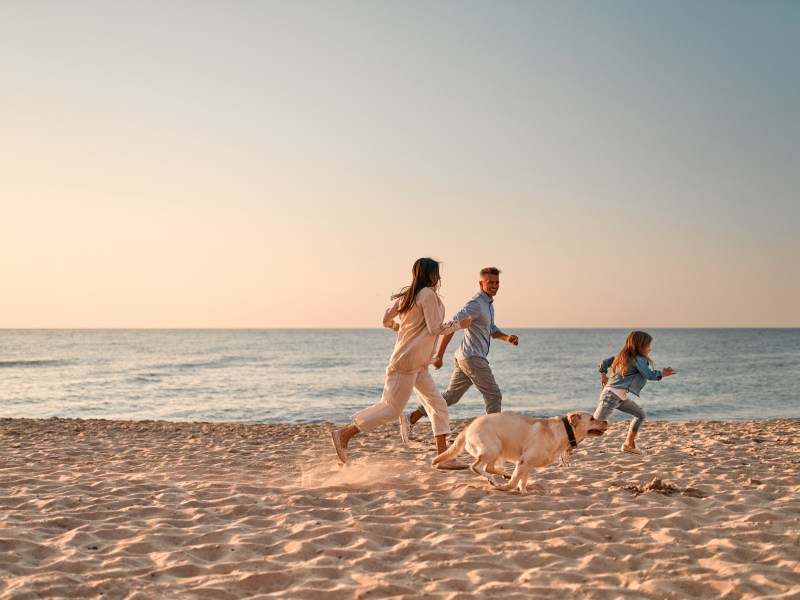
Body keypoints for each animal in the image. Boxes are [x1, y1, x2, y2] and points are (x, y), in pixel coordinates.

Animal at [432, 412, 608, 492]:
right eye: (592, 418)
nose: (606, 421)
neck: (564, 431)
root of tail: (469, 426)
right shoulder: (524, 461)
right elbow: (514, 482)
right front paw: (505, 487)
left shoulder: (527, 465)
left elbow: (522, 481)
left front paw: (524, 491)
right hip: (492, 448)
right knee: (475, 467)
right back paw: (493, 480)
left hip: (497, 449)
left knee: (488, 467)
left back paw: (503, 474)